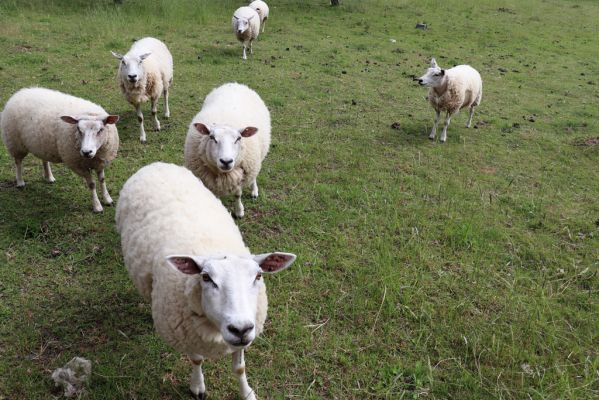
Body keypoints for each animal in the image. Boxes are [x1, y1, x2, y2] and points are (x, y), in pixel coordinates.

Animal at [115, 162, 296, 400]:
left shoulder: (244, 333)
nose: (240, 329)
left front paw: (247, 392)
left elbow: (240, 368)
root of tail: (155, 164)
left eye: (258, 276)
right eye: (206, 277)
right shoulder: (187, 335)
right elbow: (196, 359)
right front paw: (197, 386)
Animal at [184, 82, 274, 219]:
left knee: (254, 176)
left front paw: (239, 211)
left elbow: (237, 194)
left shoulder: (240, 174)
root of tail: (234, 83)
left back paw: (254, 190)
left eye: (239, 138)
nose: (226, 161)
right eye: (212, 137)